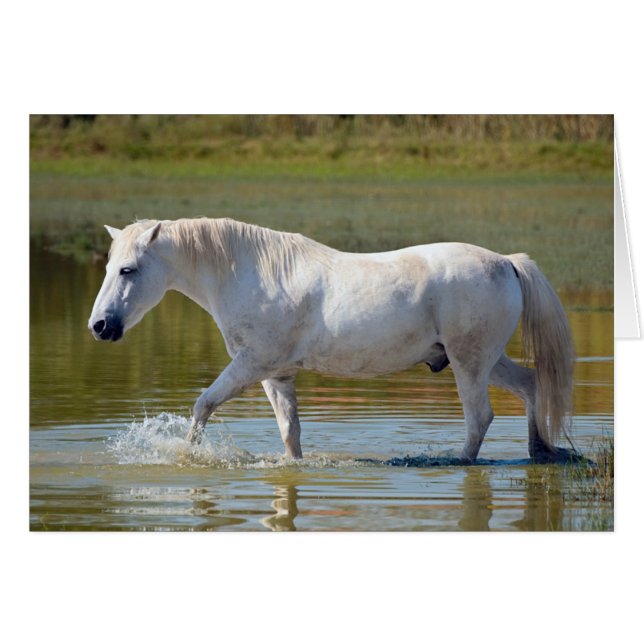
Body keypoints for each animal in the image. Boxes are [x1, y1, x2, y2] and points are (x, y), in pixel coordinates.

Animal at [88, 217, 577, 463]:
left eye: (128, 269)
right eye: (109, 267)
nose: (100, 327)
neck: (251, 273)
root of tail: (507, 262)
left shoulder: (252, 364)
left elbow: (202, 405)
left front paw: (188, 458)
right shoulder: (276, 376)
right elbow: (290, 435)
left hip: (469, 364)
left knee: (479, 418)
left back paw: (460, 462)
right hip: (485, 360)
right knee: (531, 386)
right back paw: (540, 452)